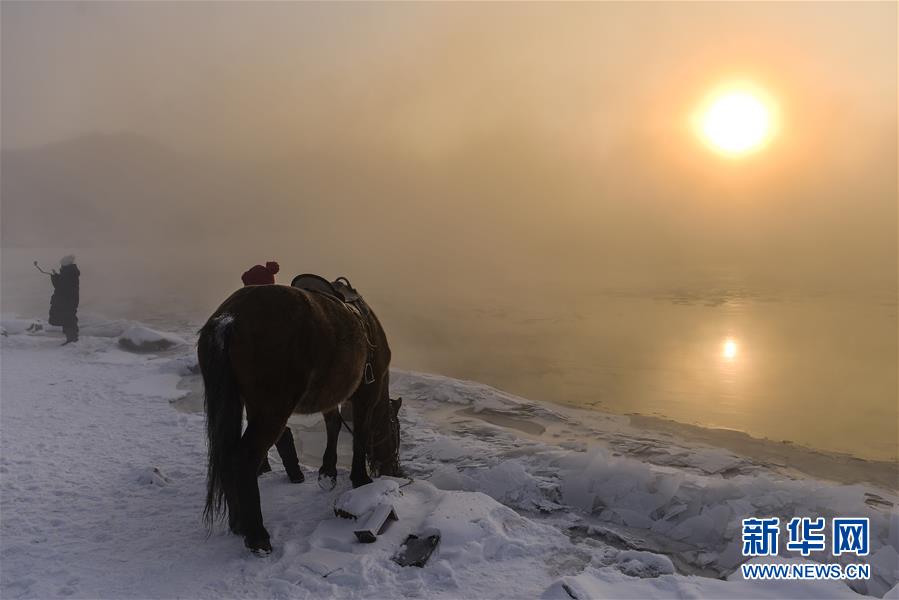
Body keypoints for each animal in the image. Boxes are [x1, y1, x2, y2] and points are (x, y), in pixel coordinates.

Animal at [199, 284, 400, 556]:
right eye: (396, 436)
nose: (395, 469)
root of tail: (231, 318)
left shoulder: (331, 394)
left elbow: (333, 424)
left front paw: (328, 471)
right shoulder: (366, 393)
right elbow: (360, 433)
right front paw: (360, 479)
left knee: (227, 457)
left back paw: (238, 523)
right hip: (271, 413)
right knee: (242, 459)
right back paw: (257, 535)